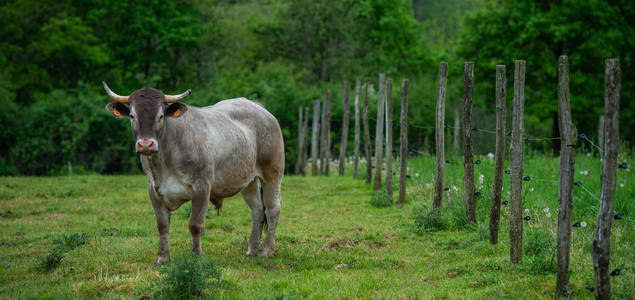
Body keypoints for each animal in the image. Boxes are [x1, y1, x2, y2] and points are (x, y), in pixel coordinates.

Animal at [102, 82, 286, 264]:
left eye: (161, 116)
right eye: (132, 116)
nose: (146, 145)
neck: (164, 161)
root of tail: (257, 107)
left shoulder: (202, 186)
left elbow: (195, 224)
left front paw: (196, 256)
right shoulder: (153, 189)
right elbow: (162, 225)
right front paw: (162, 258)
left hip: (272, 173)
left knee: (272, 209)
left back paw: (267, 251)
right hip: (248, 180)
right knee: (257, 210)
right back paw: (251, 252)